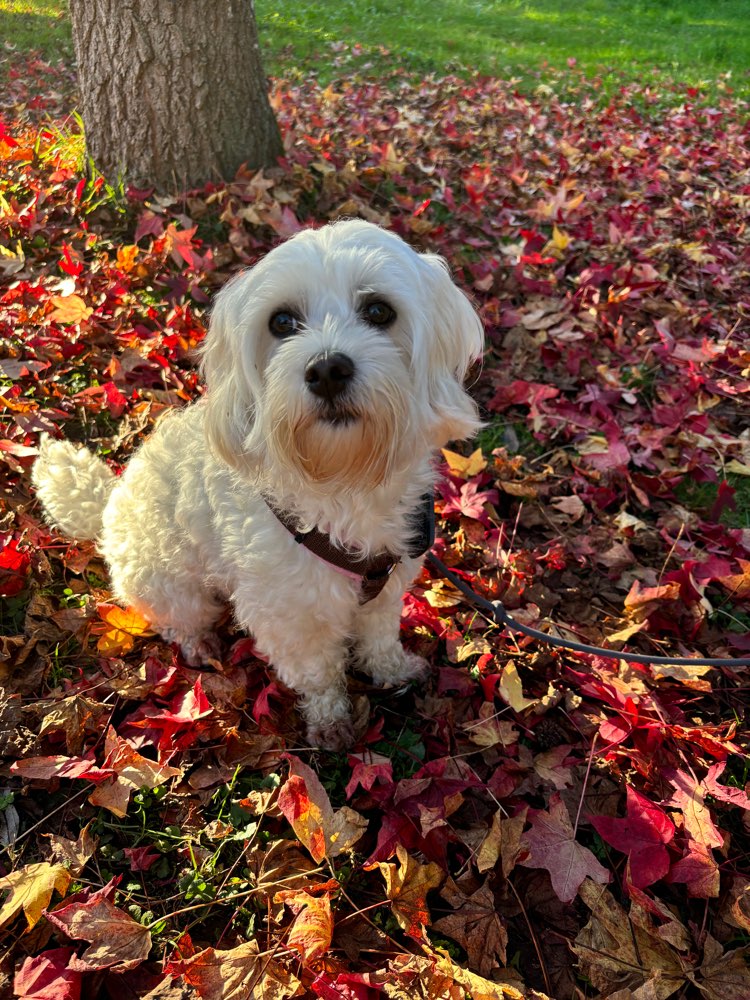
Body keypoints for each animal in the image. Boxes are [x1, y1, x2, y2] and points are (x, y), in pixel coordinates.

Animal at [32, 221, 484, 752]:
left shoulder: (389, 583)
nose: (326, 369)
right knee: (178, 618)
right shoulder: (288, 612)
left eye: (379, 311)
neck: (343, 480)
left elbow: (378, 636)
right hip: (168, 582)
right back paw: (198, 641)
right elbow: (317, 671)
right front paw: (331, 718)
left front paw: (392, 669)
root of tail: (108, 507)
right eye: (282, 322)